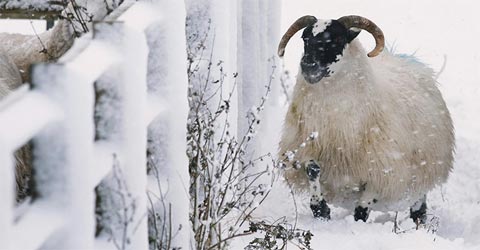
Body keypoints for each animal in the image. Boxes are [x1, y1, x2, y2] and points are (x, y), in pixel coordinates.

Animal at [278, 14, 454, 224]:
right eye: (305, 38)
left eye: (337, 39)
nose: (308, 65)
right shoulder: (307, 148)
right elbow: (312, 170)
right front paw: (320, 209)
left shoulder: (382, 170)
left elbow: (362, 209)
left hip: (422, 174)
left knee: (419, 204)